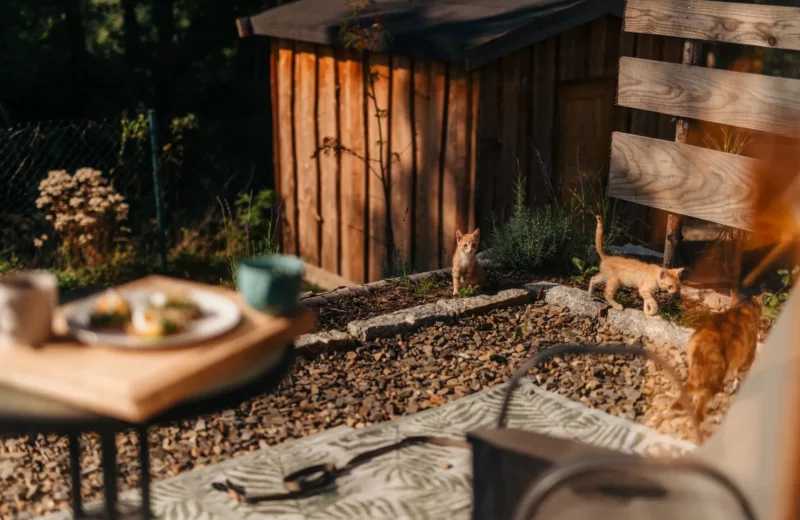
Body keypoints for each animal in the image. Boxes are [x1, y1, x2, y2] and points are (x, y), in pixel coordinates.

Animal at [680, 290, 764, 424]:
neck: (742, 308)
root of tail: (705, 340)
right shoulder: (746, 361)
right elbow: (738, 378)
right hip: (714, 376)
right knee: (700, 402)